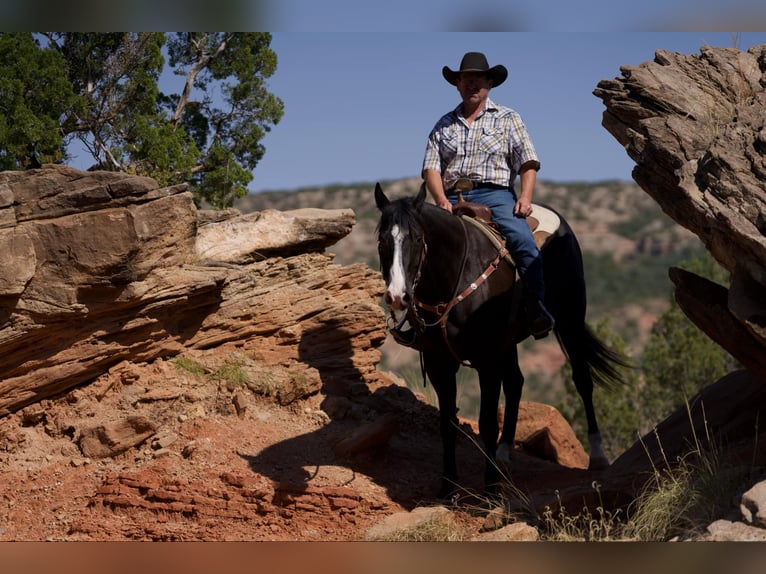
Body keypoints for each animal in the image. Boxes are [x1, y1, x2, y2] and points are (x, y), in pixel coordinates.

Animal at [374, 183, 632, 500]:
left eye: (418, 238)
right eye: (382, 241)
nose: (398, 296)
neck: (455, 275)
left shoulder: (487, 360)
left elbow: (486, 422)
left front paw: (491, 489)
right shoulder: (439, 363)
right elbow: (447, 423)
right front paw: (448, 486)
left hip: (569, 318)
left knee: (582, 379)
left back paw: (597, 456)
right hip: (509, 343)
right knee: (516, 383)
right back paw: (505, 453)